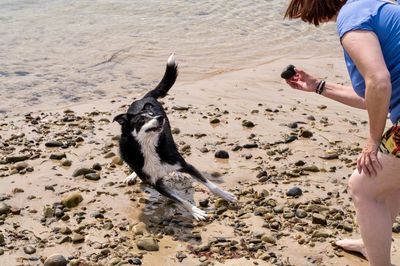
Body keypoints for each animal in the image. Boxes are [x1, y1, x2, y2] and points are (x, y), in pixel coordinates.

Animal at [113, 54, 238, 220]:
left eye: (152, 114)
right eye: (142, 120)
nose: (160, 118)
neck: (150, 147)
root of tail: (144, 98)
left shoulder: (186, 165)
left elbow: (210, 184)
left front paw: (226, 195)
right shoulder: (157, 184)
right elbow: (180, 200)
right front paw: (195, 211)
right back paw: (133, 175)